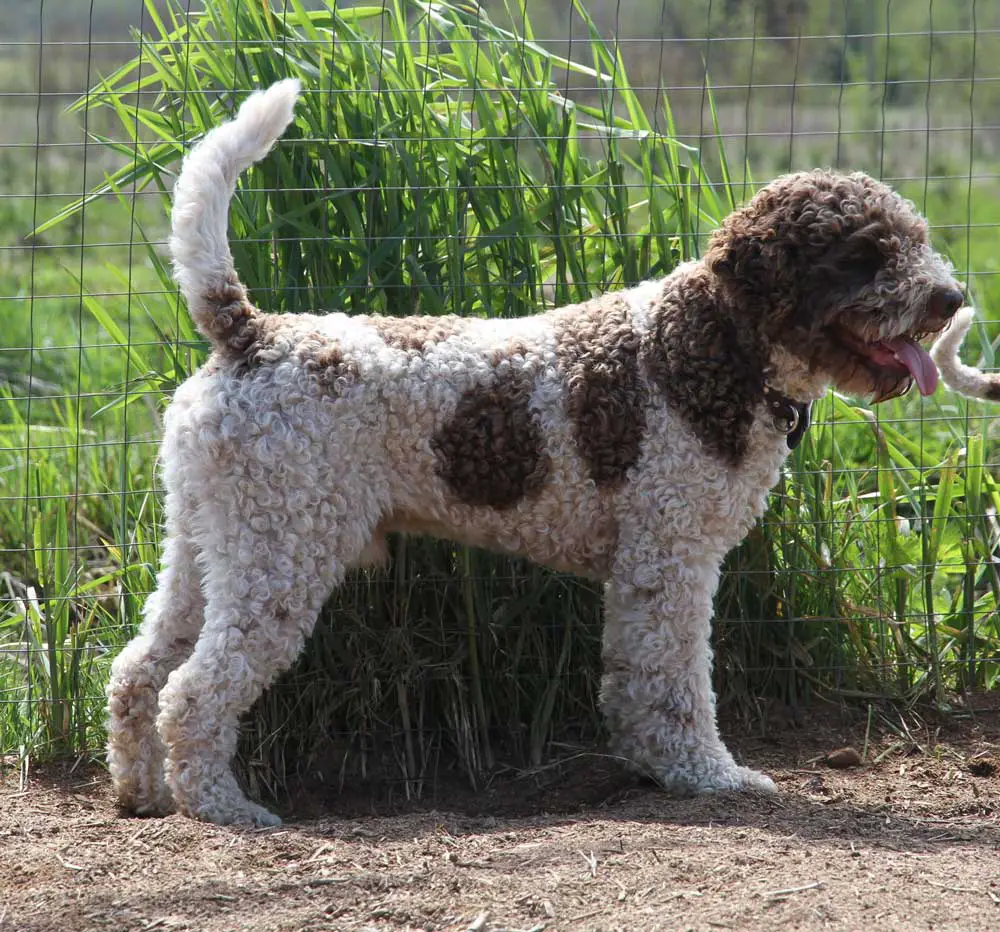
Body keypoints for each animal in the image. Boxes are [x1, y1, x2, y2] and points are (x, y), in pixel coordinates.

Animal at [105, 80, 964, 824]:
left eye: (916, 240)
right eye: (865, 252)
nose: (951, 298)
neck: (714, 346)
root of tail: (250, 332)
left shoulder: (643, 567)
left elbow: (635, 681)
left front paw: (651, 765)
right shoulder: (670, 558)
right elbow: (676, 683)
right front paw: (705, 774)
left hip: (208, 545)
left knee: (137, 669)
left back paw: (144, 792)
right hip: (280, 556)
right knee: (193, 689)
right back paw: (222, 808)